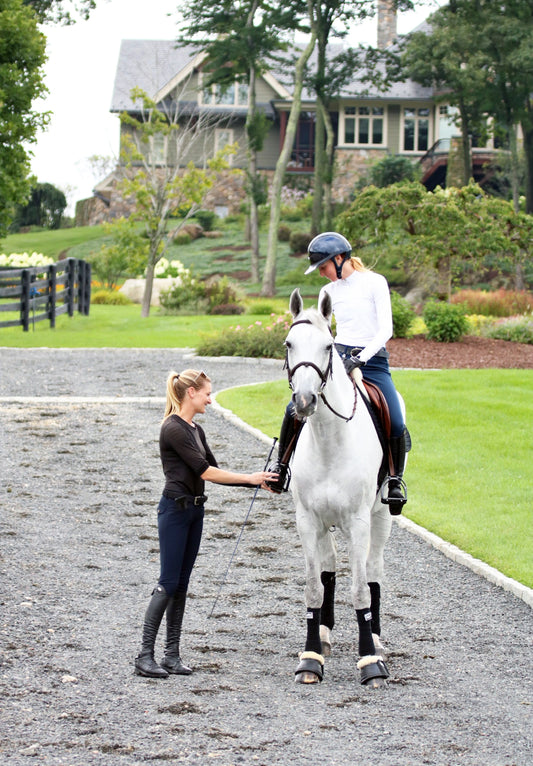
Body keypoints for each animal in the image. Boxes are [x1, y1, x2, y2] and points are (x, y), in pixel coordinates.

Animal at [284, 290, 392, 688]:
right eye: (289, 344)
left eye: (328, 347)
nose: (303, 402)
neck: (330, 441)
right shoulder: (306, 520)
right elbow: (314, 586)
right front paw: (310, 657)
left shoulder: (359, 522)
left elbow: (360, 589)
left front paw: (370, 662)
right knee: (329, 569)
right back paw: (325, 634)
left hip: (381, 516)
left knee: (373, 570)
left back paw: (375, 639)